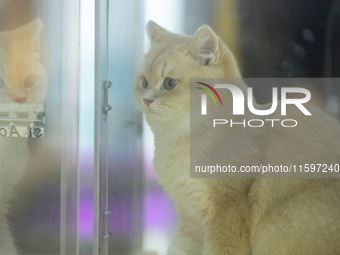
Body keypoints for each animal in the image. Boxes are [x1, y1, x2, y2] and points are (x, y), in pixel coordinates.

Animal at [135, 21, 340, 255]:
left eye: (169, 83)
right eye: (144, 82)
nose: (147, 99)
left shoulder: (225, 212)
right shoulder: (190, 221)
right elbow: (179, 248)